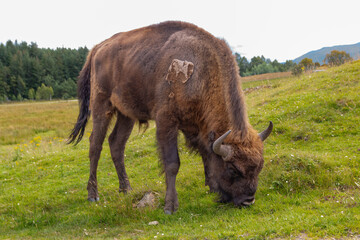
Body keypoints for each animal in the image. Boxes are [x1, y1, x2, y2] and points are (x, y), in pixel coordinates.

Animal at [69, 21, 272, 215]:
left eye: (260, 166)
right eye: (232, 169)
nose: (248, 201)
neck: (201, 70)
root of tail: (97, 48)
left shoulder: (196, 126)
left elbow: (206, 154)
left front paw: (212, 188)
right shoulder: (167, 121)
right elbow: (173, 163)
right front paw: (170, 207)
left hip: (126, 114)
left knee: (116, 144)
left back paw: (126, 189)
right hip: (101, 105)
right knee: (95, 145)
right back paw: (93, 195)